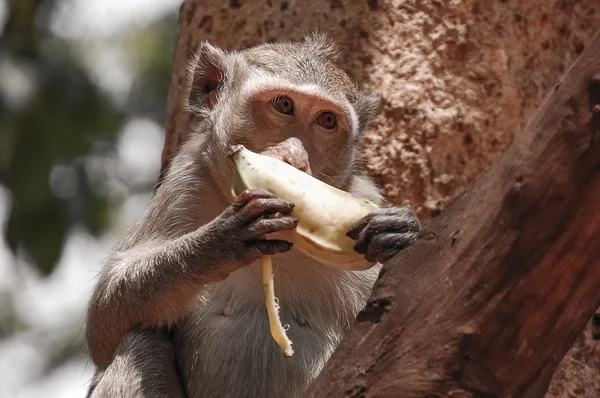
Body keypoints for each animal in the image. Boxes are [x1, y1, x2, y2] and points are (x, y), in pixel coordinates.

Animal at [85, 34, 422, 398]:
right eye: (284, 105)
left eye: (327, 121)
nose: (295, 158)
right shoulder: (184, 182)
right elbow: (105, 322)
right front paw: (218, 244)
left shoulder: (364, 196)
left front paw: (400, 232)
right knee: (140, 342)